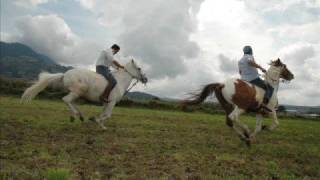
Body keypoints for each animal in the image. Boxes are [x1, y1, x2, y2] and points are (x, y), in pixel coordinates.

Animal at [20, 59, 148, 129]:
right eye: (139, 68)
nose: (145, 79)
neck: (120, 81)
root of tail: (65, 74)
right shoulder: (112, 102)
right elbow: (107, 115)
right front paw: (98, 122)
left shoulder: (106, 102)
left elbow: (103, 114)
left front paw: (98, 123)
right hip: (78, 91)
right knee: (66, 100)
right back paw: (74, 116)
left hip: (77, 94)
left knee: (71, 102)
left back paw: (81, 116)